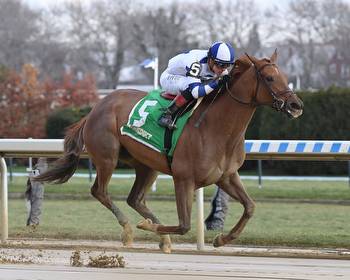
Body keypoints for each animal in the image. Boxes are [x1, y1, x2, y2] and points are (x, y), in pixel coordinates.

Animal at [36, 50, 304, 254]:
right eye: (269, 78)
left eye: (284, 76)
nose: (296, 105)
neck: (217, 128)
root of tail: (96, 108)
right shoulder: (183, 179)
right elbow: (184, 225)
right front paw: (147, 227)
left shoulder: (226, 176)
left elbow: (250, 207)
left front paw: (221, 239)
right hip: (107, 157)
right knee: (100, 191)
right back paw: (130, 229)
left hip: (146, 166)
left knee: (135, 198)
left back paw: (161, 238)